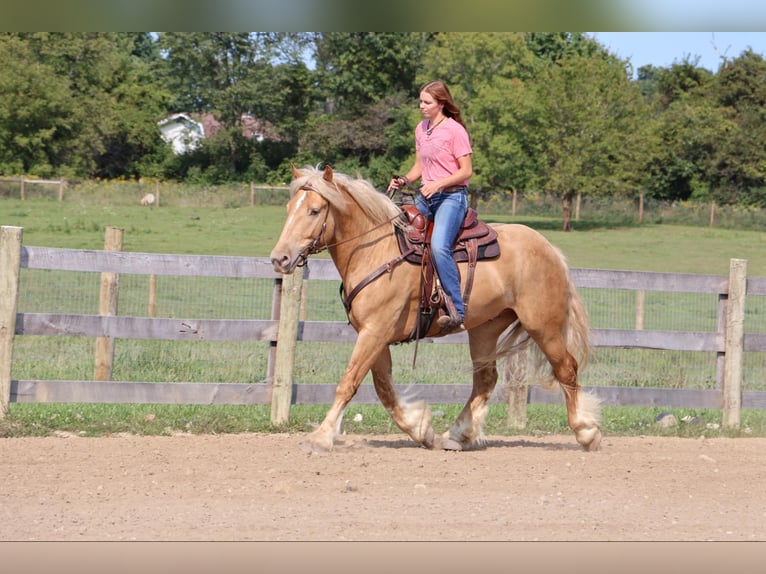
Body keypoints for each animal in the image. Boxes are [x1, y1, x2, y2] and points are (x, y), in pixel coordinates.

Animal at [272, 166, 608, 454]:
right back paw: (458, 435)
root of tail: (551, 250)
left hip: (543, 326)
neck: (376, 251)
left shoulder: (375, 332)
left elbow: (349, 383)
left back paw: (586, 432)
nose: (280, 258)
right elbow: (384, 389)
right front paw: (421, 429)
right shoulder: (373, 335)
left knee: (566, 368)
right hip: (485, 329)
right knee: (486, 379)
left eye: (314, 210)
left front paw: (321, 437)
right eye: (288, 209)